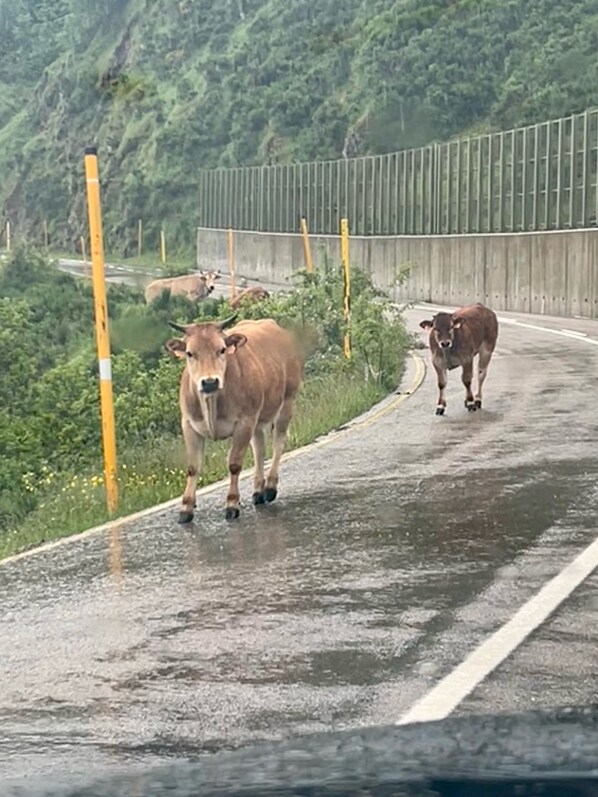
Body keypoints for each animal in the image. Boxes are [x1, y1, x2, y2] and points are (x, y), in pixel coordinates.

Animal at [164, 314, 303, 523]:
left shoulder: (244, 423)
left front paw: (232, 503)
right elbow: (193, 467)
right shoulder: (189, 425)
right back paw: (258, 490)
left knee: (278, 442)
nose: (209, 382)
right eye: (190, 353)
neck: (212, 403)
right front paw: (186, 508)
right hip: (257, 418)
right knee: (259, 449)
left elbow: (234, 464)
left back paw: (270, 487)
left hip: (286, 402)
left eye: (221, 349)